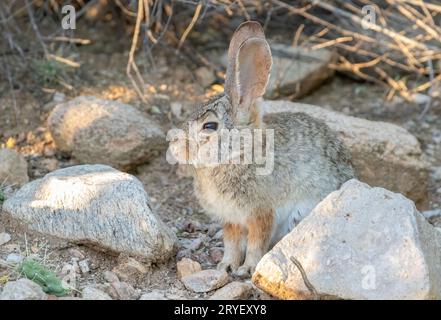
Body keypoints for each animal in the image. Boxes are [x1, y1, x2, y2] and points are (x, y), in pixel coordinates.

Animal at [166, 20, 354, 278]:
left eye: (209, 126)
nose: (174, 147)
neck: (237, 153)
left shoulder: (261, 213)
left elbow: (256, 242)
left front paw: (246, 268)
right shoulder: (231, 219)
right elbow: (232, 243)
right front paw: (225, 266)